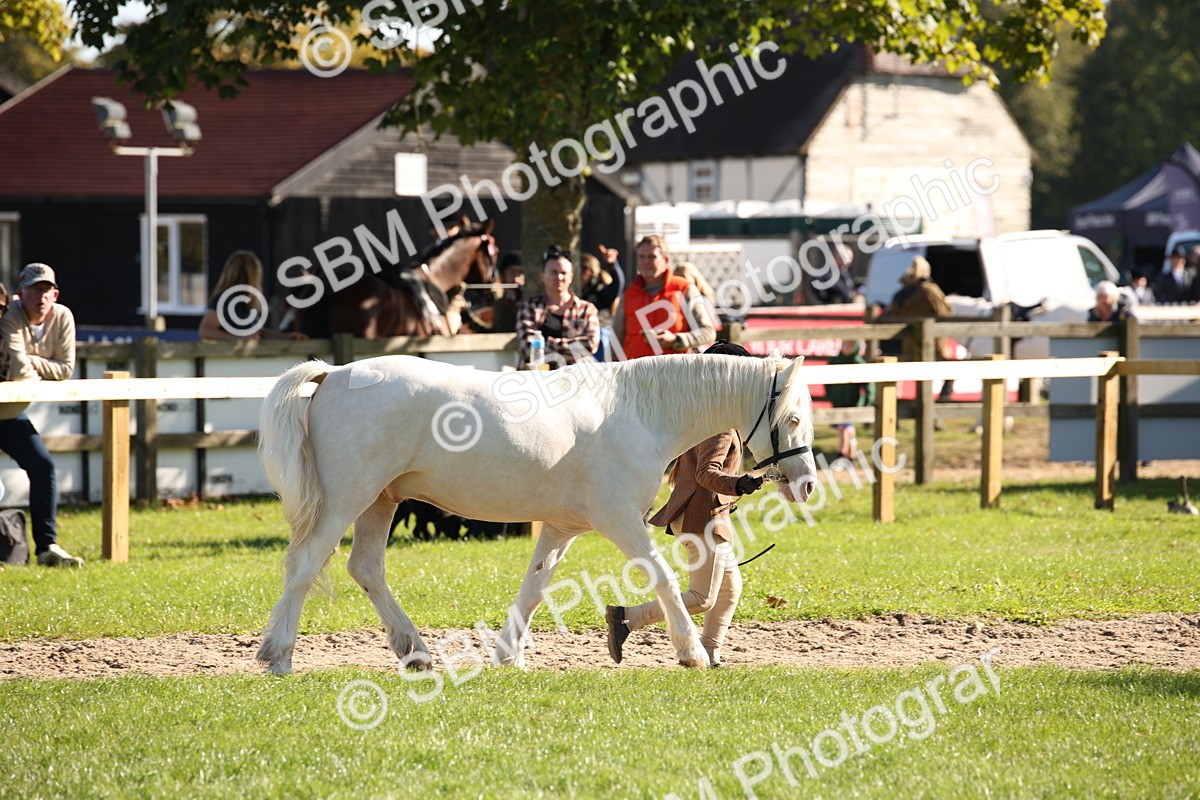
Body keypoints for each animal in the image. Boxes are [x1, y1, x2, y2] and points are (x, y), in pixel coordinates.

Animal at [255, 353, 819, 674]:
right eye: (792, 417)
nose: (808, 484)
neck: (637, 411)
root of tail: (334, 373)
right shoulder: (620, 520)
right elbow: (661, 576)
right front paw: (692, 653)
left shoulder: (561, 527)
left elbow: (535, 585)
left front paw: (510, 655)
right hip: (348, 498)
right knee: (305, 565)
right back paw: (278, 655)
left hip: (381, 501)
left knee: (366, 568)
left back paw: (415, 651)